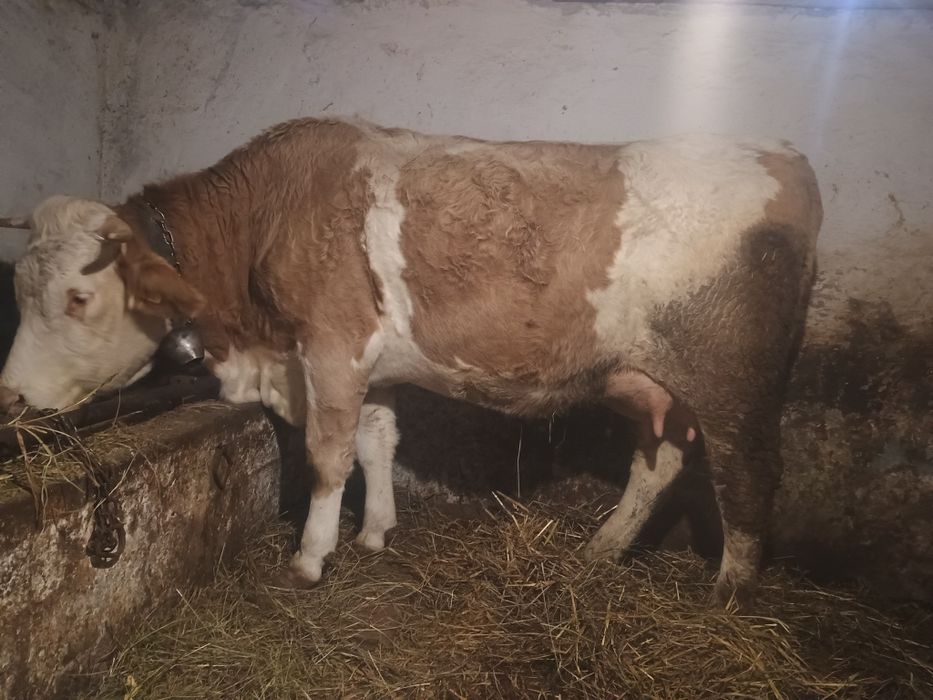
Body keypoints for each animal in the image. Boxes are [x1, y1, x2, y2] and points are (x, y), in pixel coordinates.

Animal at [0, 118, 821, 607]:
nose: (11, 396)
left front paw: (312, 556)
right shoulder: (367, 364)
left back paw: (728, 592)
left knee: (748, 476)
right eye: (20, 285)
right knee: (658, 462)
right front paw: (375, 533)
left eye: (78, 297)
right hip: (646, 381)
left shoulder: (330, 348)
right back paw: (603, 549)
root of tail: (782, 156)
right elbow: (377, 441)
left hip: (735, 383)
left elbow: (328, 455)